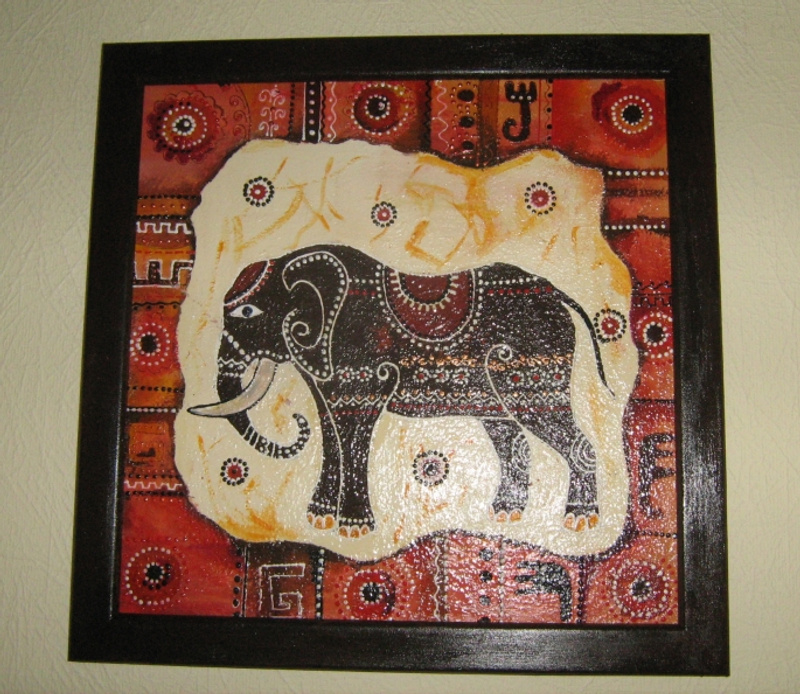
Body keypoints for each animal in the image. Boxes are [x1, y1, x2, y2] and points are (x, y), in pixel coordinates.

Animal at [189, 244, 612, 537]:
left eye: (248, 313)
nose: (295, 422)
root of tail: (557, 292)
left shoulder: (362, 361)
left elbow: (354, 433)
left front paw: (354, 530)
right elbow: (330, 431)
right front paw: (319, 519)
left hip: (534, 363)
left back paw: (579, 521)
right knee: (509, 437)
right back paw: (506, 513)